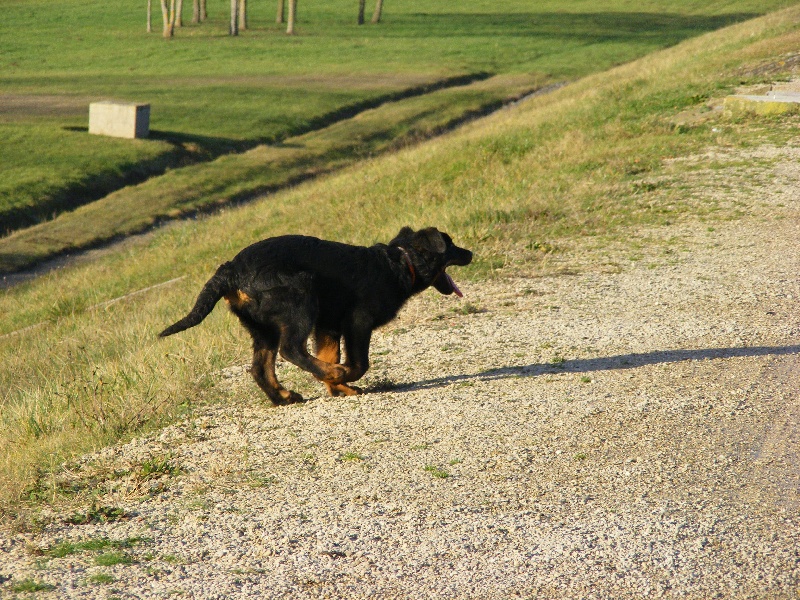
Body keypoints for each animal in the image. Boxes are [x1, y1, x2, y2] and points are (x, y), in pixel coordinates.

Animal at [159, 227, 472, 406]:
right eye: (450, 244)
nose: (470, 253)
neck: (402, 262)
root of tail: (230, 271)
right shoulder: (357, 322)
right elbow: (359, 363)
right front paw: (341, 376)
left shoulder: (328, 326)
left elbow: (328, 353)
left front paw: (337, 388)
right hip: (300, 296)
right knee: (290, 350)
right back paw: (328, 375)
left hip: (263, 328)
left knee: (260, 367)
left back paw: (284, 397)